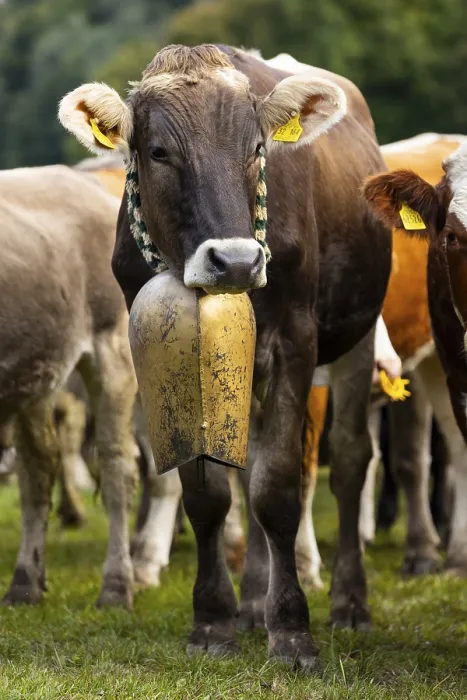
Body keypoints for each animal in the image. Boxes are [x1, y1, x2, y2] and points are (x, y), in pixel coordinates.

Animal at [0, 165, 138, 607]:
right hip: (35, 370)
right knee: (38, 469)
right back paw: (26, 580)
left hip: (112, 348)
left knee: (116, 466)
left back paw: (116, 585)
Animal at [59, 43, 391, 670]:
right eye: (159, 152)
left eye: (257, 149)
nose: (235, 262)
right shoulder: (159, 354)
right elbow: (210, 494)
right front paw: (214, 620)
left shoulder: (295, 340)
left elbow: (277, 485)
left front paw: (292, 630)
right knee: (253, 458)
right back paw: (252, 603)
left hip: (356, 337)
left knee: (349, 459)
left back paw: (349, 604)